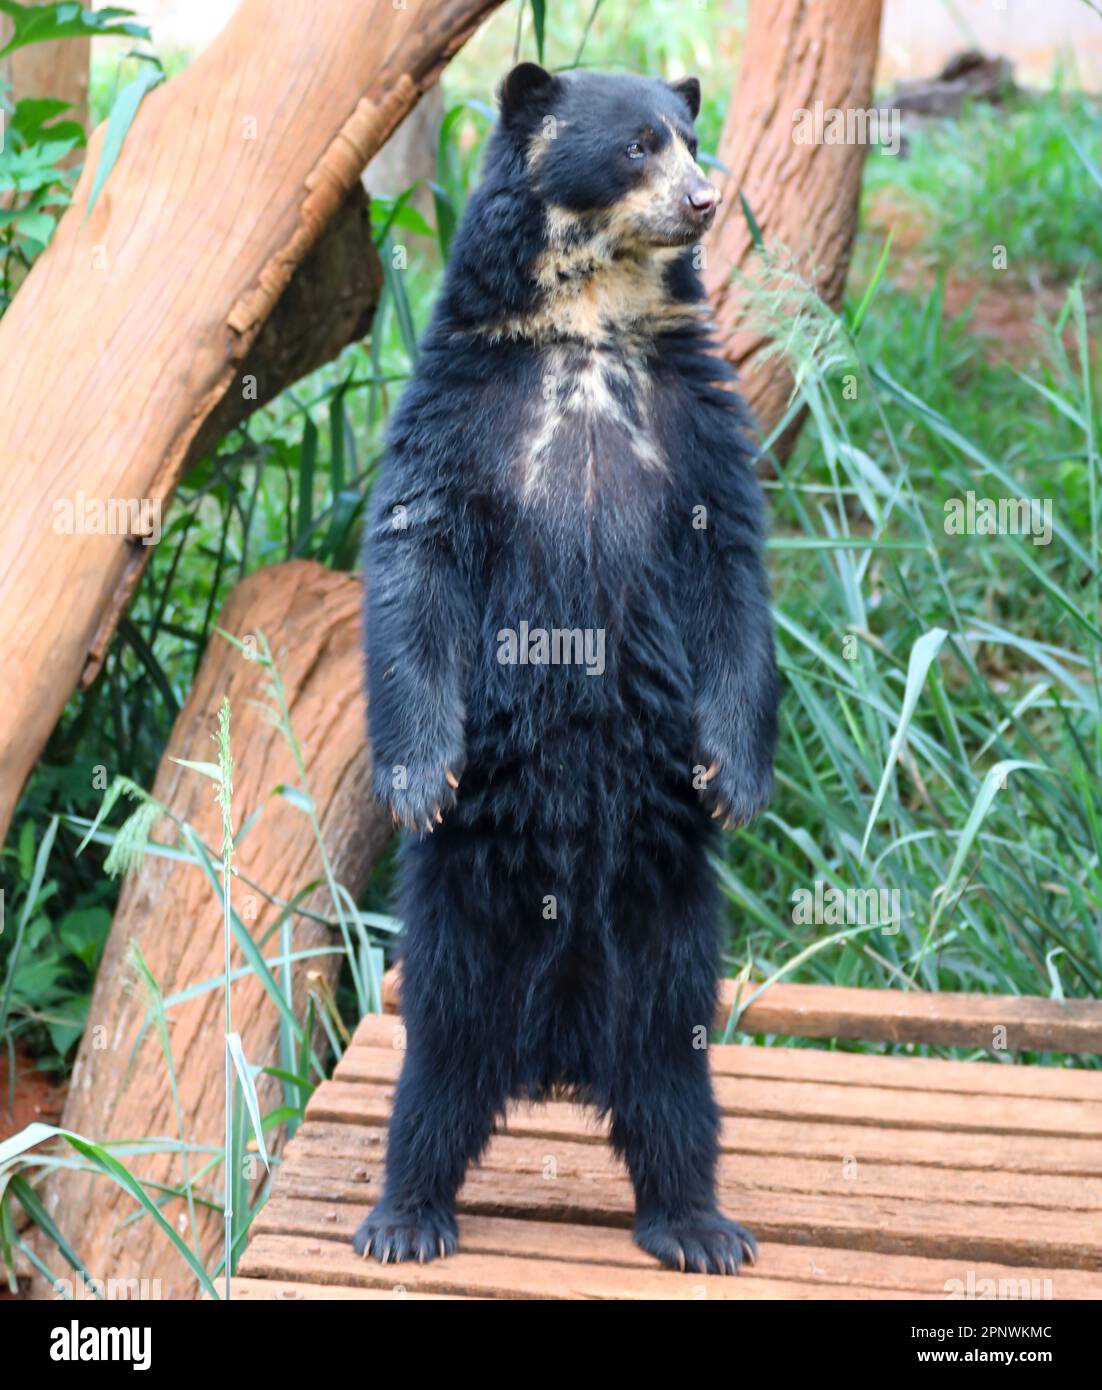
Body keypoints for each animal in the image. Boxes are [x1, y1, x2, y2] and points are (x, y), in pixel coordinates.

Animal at [355, 63, 779, 1276]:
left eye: (691, 137)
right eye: (638, 145)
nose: (705, 201)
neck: (586, 324)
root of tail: (557, 1051)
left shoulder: (694, 419)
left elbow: (733, 573)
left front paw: (735, 779)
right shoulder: (459, 404)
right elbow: (415, 560)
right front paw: (419, 779)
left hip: (673, 931)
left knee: (675, 1077)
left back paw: (699, 1225)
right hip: (457, 917)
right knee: (438, 1062)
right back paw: (405, 1216)